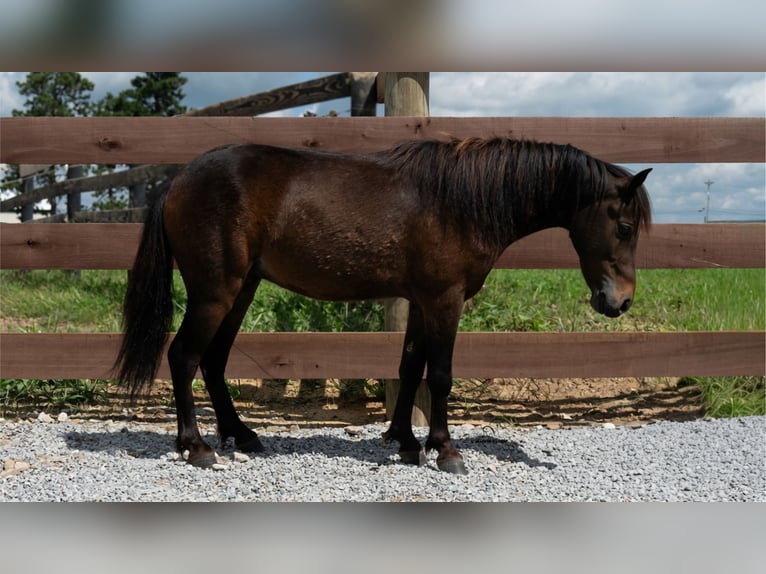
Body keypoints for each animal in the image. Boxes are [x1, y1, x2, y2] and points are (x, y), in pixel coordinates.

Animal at [115, 136, 651, 475]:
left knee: (214, 361)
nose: (620, 302)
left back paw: (242, 436)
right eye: (624, 228)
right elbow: (440, 375)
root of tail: (178, 179)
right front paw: (446, 450)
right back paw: (197, 446)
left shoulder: (421, 301)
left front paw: (406, 442)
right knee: (184, 357)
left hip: (241, 290)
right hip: (215, 291)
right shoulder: (445, 300)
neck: (460, 202)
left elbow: (410, 366)